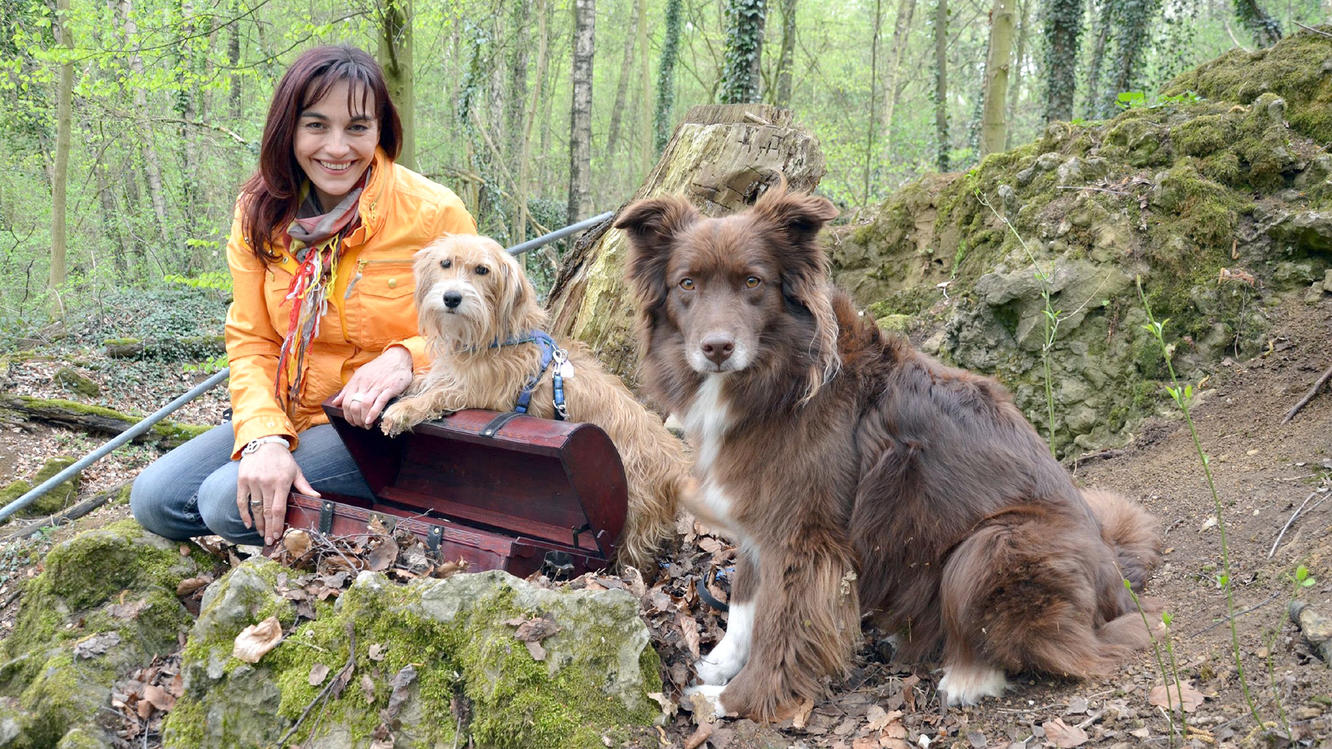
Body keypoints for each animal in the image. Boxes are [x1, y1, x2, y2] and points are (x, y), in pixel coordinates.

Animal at [375, 230, 687, 567]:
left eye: (482, 270)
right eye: (446, 263)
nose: (452, 298)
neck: (495, 338)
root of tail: (676, 463)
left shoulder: (484, 394)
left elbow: (441, 393)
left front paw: (404, 410)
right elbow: (426, 381)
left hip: (635, 513)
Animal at [615, 185, 1166, 719]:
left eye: (753, 282)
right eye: (687, 284)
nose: (716, 348)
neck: (782, 375)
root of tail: (1119, 579)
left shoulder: (804, 537)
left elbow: (777, 626)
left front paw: (735, 702)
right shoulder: (759, 514)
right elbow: (746, 603)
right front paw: (719, 664)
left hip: (995, 544)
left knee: (1063, 647)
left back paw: (966, 676)